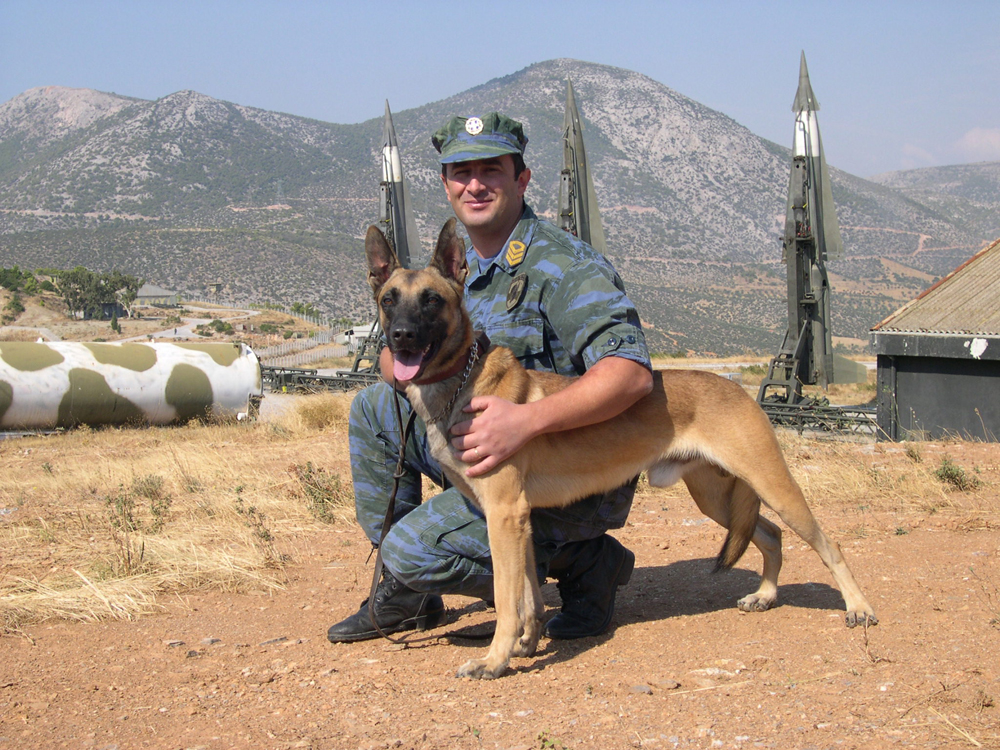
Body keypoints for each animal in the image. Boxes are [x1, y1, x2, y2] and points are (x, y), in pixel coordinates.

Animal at [362, 219, 876, 680]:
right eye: (389, 300)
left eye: (432, 300)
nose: (401, 337)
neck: (460, 384)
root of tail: (735, 387)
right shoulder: (517, 520)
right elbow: (529, 593)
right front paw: (527, 643)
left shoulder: (504, 515)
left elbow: (509, 600)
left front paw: (495, 660)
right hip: (716, 498)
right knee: (769, 534)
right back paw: (766, 595)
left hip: (772, 484)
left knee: (825, 542)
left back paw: (858, 607)